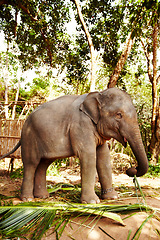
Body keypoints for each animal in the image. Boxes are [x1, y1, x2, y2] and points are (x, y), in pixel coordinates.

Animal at [0, 87, 149, 203]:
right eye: (119, 115)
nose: (131, 170)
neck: (98, 94)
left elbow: (104, 157)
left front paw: (112, 198)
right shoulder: (80, 125)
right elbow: (89, 155)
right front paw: (92, 202)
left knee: (43, 165)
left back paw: (42, 196)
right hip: (30, 137)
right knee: (31, 163)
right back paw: (28, 199)